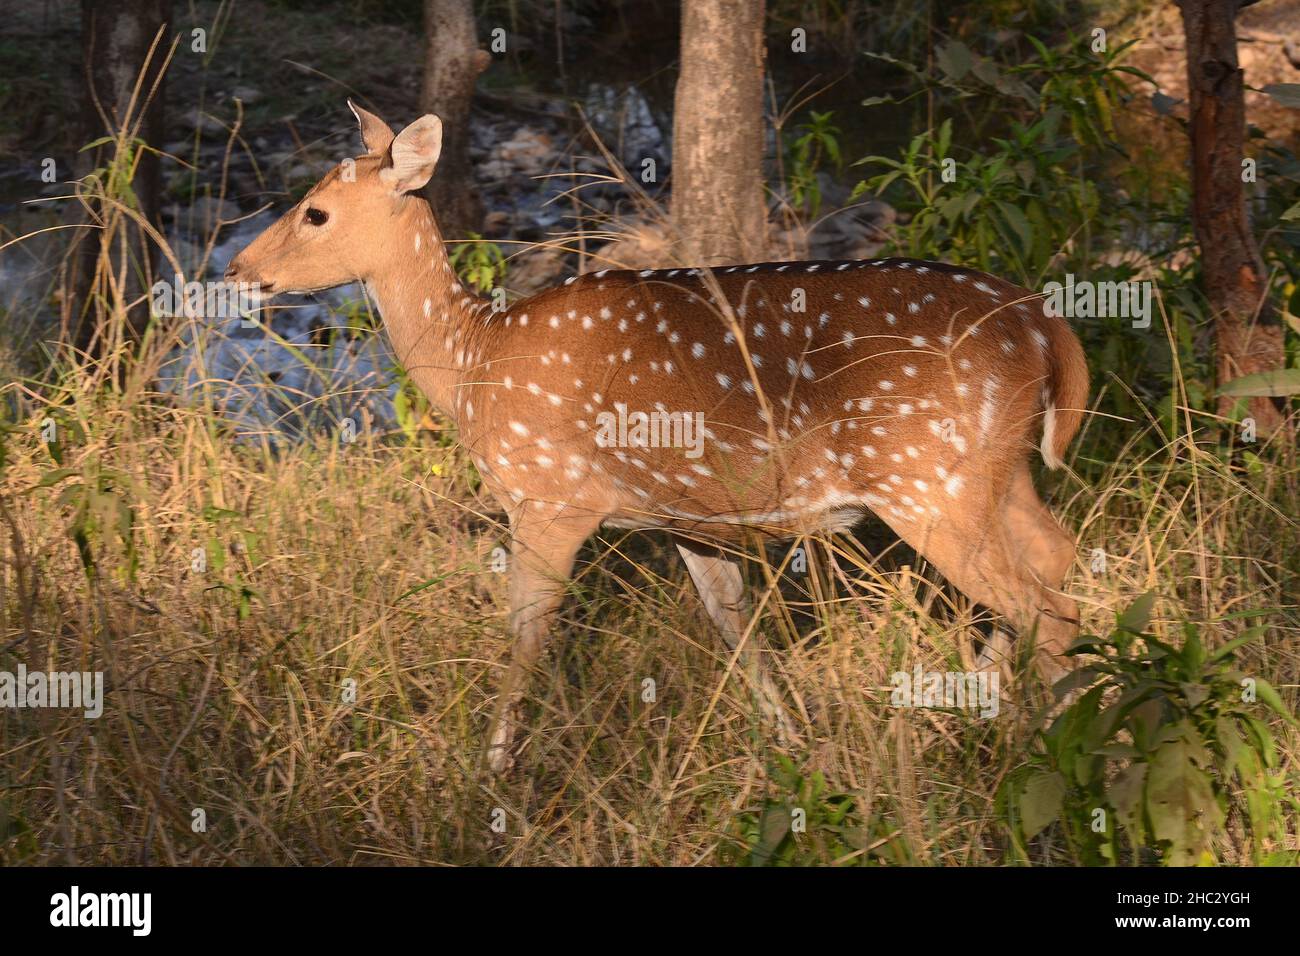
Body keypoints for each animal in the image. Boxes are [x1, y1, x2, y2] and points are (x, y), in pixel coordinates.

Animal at [231, 104, 1086, 775]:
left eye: (315, 212)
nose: (239, 268)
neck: (477, 361)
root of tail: (1046, 327)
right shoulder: (687, 517)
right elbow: (734, 625)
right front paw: (791, 743)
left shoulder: (550, 498)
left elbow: (525, 636)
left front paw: (489, 773)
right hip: (998, 472)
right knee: (1059, 561)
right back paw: (979, 708)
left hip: (926, 479)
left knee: (1041, 605)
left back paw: (1037, 747)